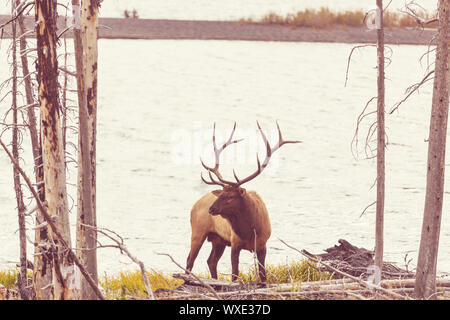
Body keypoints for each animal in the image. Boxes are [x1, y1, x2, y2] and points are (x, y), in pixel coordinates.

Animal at [186, 121, 302, 282]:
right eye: (221, 194)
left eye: (230, 197)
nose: (211, 209)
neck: (250, 230)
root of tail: (194, 206)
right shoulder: (235, 243)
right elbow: (235, 274)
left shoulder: (262, 245)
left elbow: (263, 275)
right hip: (198, 231)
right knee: (190, 260)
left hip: (218, 240)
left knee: (211, 261)